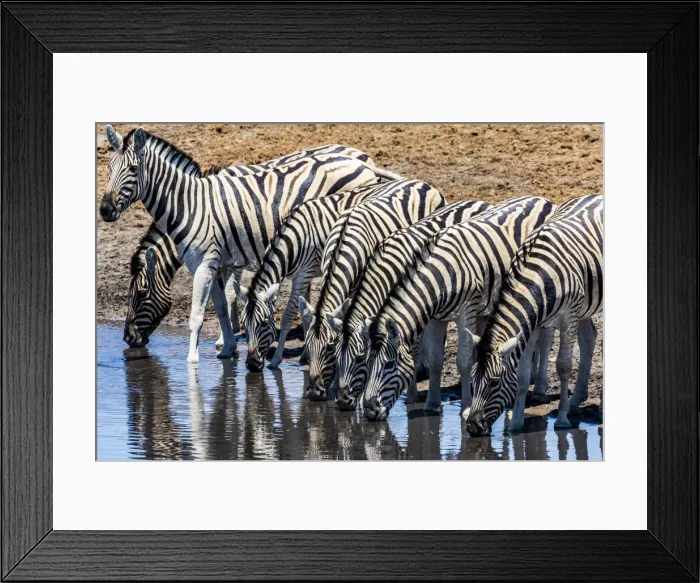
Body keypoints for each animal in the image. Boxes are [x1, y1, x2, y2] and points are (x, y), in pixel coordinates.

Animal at [233, 182, 385, 372]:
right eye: (244, 325)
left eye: (263, 323)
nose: (252, 365)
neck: (293, 242)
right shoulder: (305, 276)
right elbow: (306, 316)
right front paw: (306, 354)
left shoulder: (303, 275)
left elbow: (288, 315)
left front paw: (276, 360)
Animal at [331, 199, 493, 411]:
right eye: (336, 357)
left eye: (359, 358)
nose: (342, 402)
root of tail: (480, 201)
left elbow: (413, 351)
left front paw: (411, 394)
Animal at [359, 196, 557, 421]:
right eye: (367, 361)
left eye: (389, 364)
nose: (369, 410)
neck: (441, 277)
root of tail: (542, 199)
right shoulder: (436, 317)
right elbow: (436, 360)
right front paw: (432, 404)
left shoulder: (466, 311)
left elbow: (464, 361)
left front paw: (466, 407)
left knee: (546, 337)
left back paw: (539, 388)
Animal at [466, 194, 603, 436]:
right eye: (472, 382)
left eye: (494, 383)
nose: (472, 427)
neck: (540, 275)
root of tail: (596, 196)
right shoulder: (533, 323)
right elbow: (522, 374)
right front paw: (516, 423)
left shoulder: (568, 317)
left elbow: (563, 366)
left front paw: (562, 419)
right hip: (585, 305)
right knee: (589, 338)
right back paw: (576, 400)